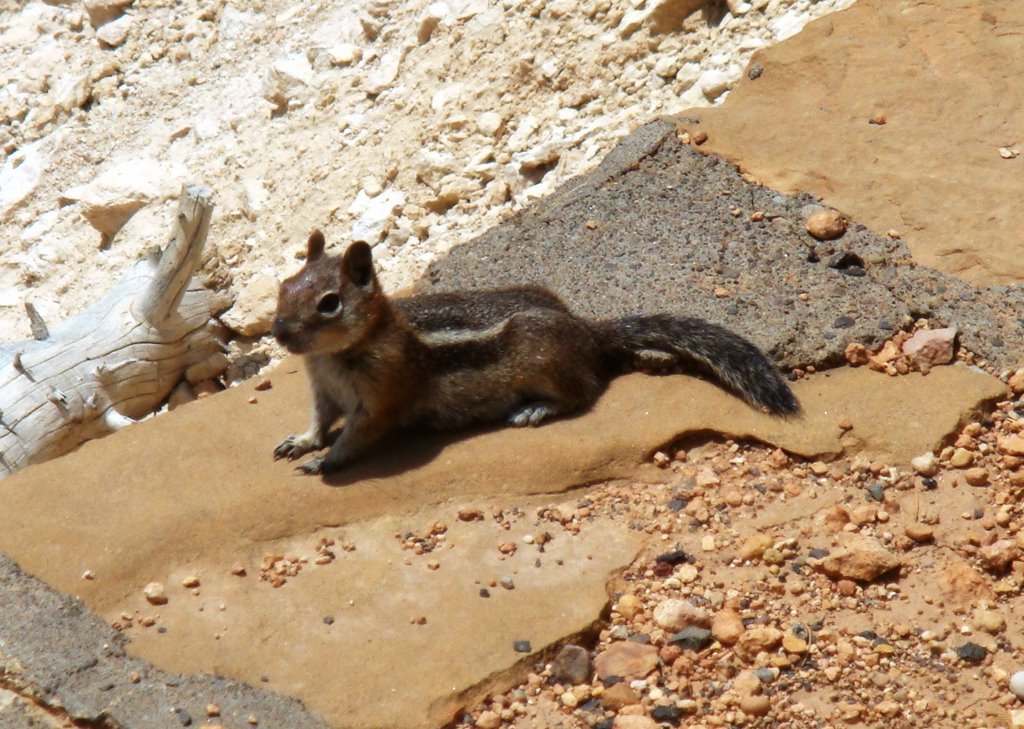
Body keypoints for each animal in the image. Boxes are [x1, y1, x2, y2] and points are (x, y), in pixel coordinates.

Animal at [272, 230, 798, 475]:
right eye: (284, 285)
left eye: (329, 303)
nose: (278, 333)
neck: (335, 355)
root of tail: (586, 330)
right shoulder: (323, 390)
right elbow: (319, 420)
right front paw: (301, 441)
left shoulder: (382, 396)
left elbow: (357, 434)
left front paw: (325, 461)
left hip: (542, 360)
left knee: (584, 391)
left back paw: (536, 409)